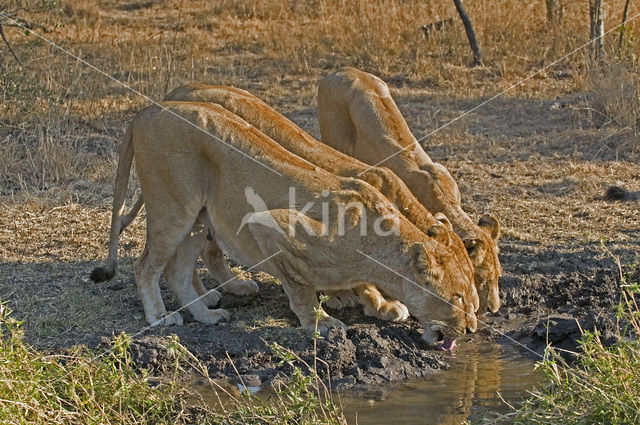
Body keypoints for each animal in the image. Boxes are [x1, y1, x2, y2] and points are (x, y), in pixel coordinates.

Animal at [92, 100, 478, 348]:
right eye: (457, 297)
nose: (471, 330)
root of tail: (147, 111)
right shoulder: (270, 224)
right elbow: (301, 288)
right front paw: (323, 324)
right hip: (173, 209)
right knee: (145, 266)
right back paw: (160, 317)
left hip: (198, 219)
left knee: (178, 272)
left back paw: (207, 316)